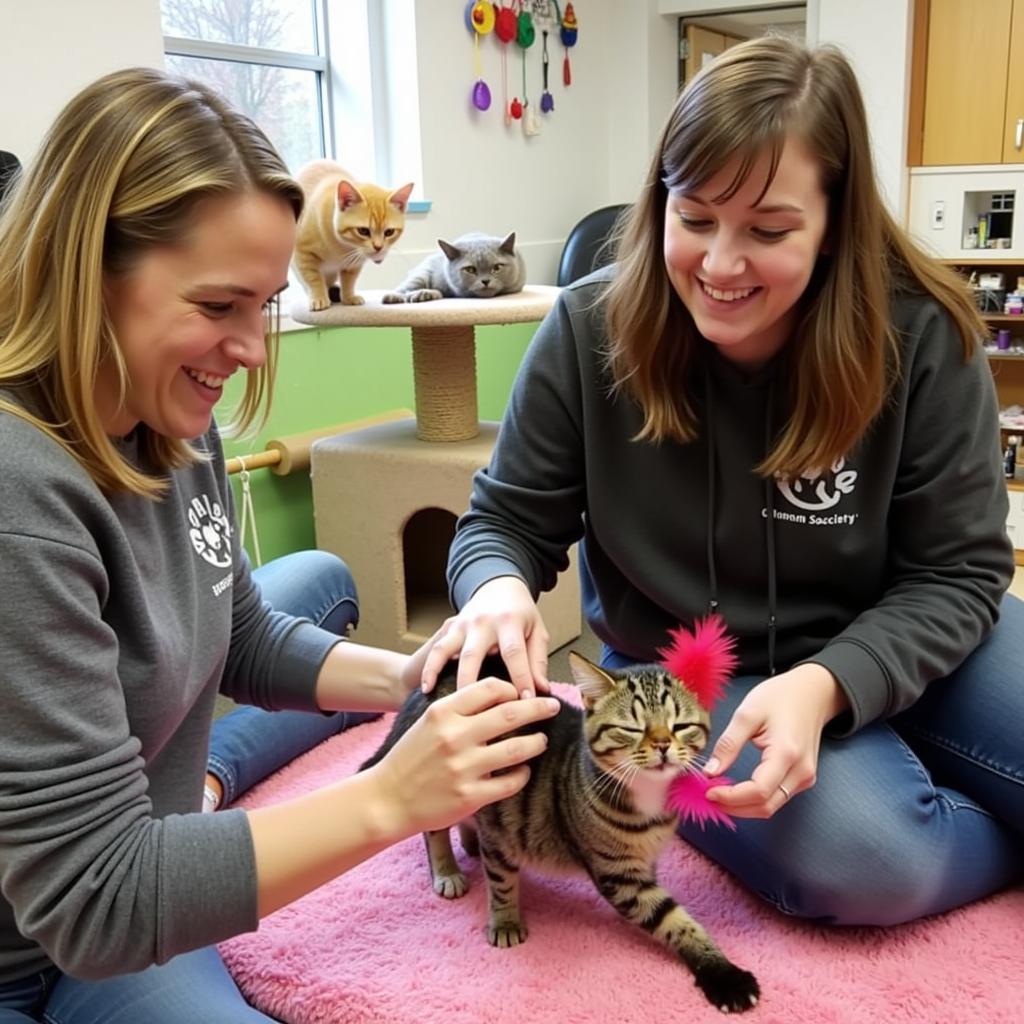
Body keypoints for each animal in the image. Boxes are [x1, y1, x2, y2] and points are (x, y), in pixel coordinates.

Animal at [290, 159, 413, 309]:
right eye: (363, 231)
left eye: (389, 232)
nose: (378, 247)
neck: (341, 247)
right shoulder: (303, 253)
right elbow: (313, 277)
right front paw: (319, 297)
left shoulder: (354, 263)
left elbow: (349, 280)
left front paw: (348, 297)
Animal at [362, 651, 761, 1011]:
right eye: (632, 728)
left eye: (679, 726)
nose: (663, 745)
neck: (649, 800)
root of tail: (441, 676)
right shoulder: (619, 876)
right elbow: (673, 921)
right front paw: (725, 977)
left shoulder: (643, 862)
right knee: (438, 832)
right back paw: (448, 871)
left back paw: (472, 842)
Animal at [382, 228, 528, 299]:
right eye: (470, 270)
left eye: (497, 268)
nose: (485, 281)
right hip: (420, 274)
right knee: (404, 289)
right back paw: (395, 297)